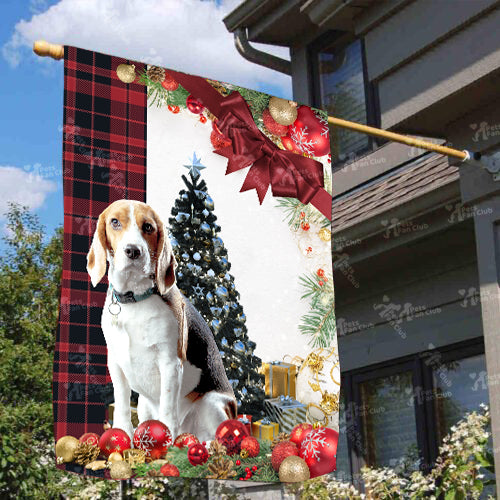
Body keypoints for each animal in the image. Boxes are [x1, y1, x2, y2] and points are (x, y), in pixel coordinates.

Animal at [86, 199, 236, 442]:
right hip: (144, 404)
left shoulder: (170, 363)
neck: (135, 299)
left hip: (211, 404)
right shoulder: (115, 363)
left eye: (148, 227)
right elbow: (121, 403)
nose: (133, 251)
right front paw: (122, 432)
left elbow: (167, 408)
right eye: (115, 222)